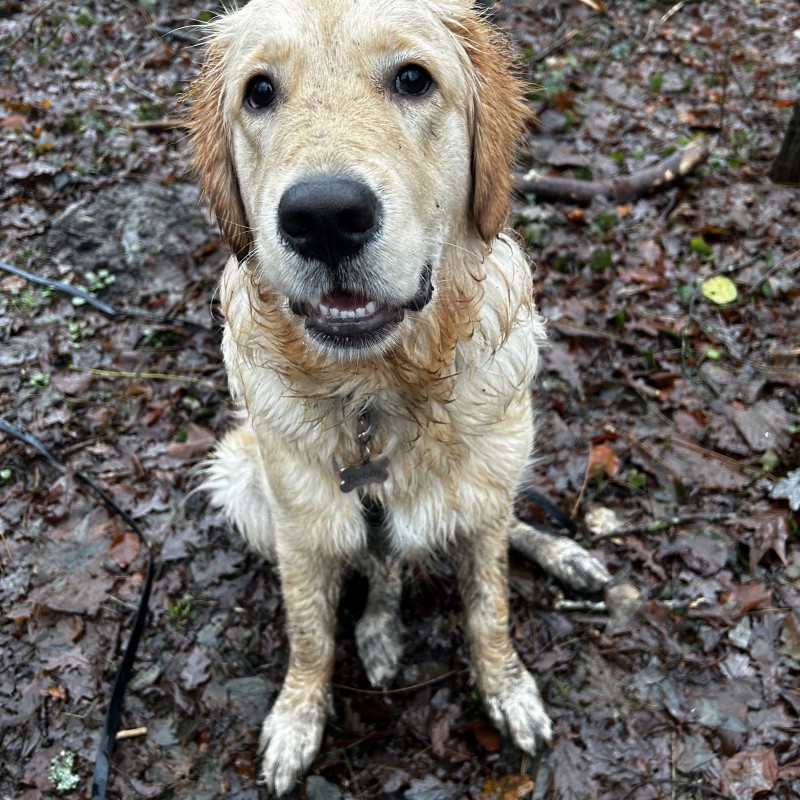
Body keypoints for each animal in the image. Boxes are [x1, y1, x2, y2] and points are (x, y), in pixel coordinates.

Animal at [188, 0, 610, 793]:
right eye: (259, 92)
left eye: (414, 79)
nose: (324, 215)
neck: (375, 397)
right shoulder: (298, 526)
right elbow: (310, 635)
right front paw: (297, 718)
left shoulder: (482, 496)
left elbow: (489, 608)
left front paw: (509, 690)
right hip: (239, 476)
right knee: (379, 564)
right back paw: (380, 630)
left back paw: (565, 556)